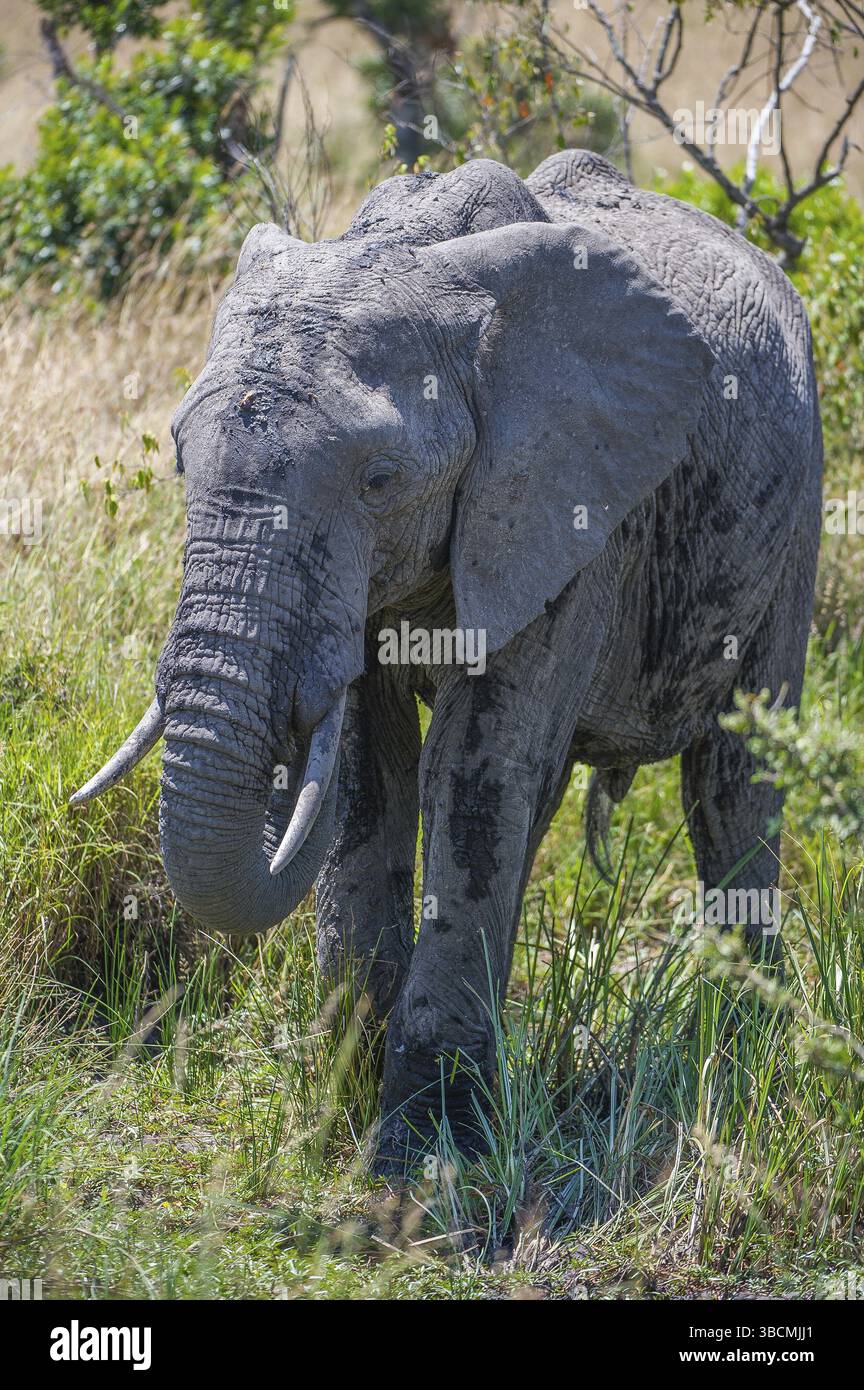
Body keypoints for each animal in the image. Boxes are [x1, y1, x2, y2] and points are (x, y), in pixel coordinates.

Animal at [72, 150, 822, 1169]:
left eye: (381, 481)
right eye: (183, 459)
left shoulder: (569, 509)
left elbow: (474, 772)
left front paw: (423, 1162)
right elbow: (368, 776)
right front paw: (342, 1110)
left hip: (797, 502)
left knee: (732, 784)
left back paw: (742, 1050)